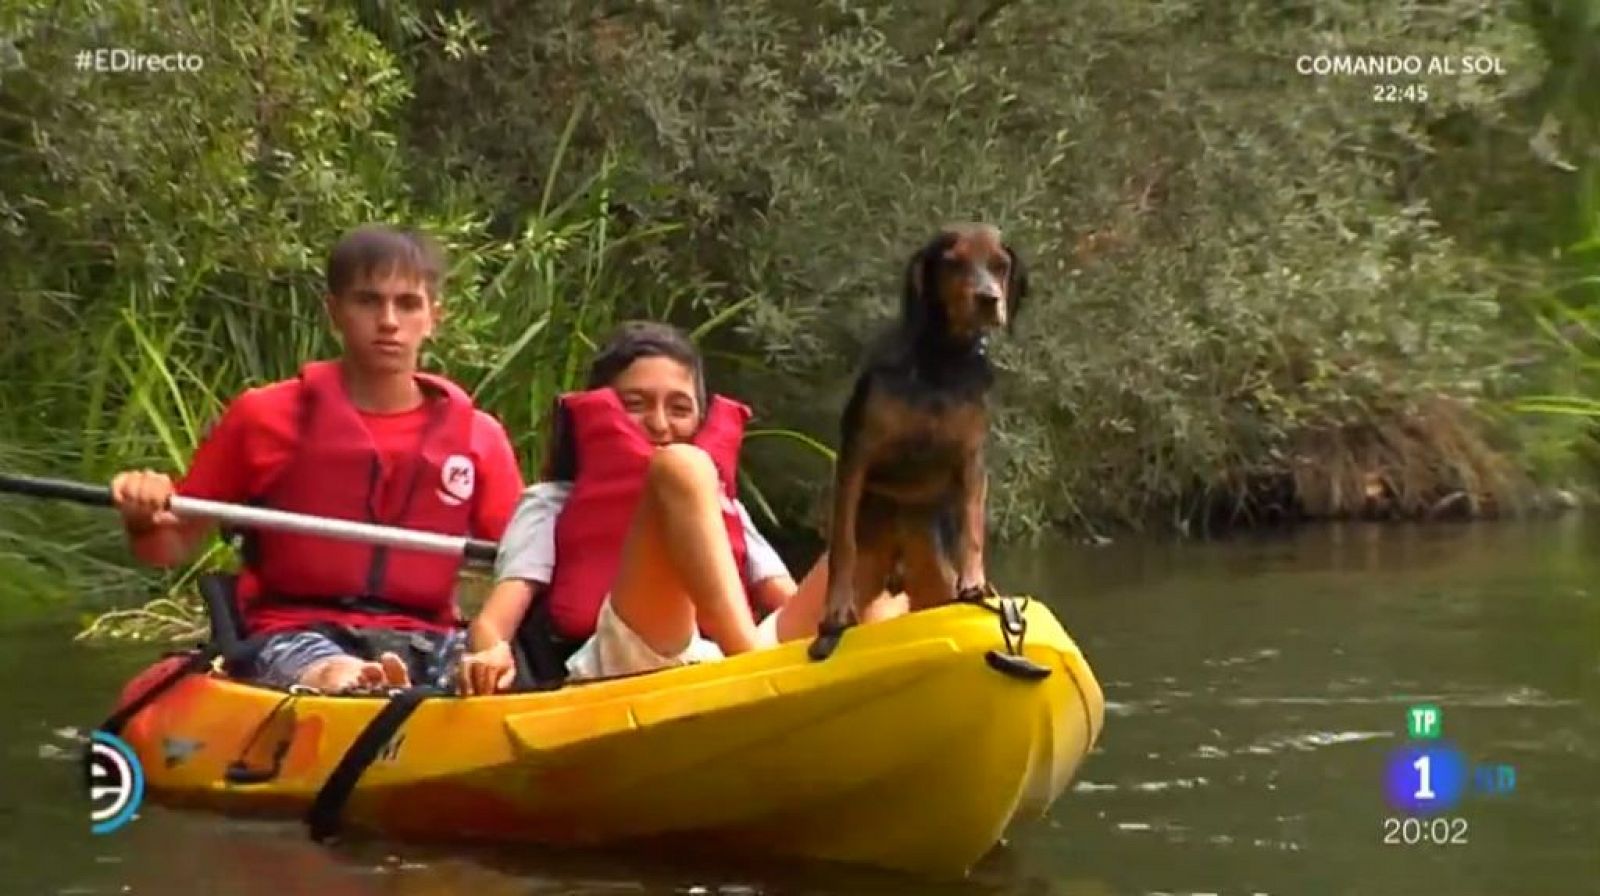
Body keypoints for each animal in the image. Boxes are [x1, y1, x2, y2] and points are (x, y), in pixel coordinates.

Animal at [806, 222, 1030, 659]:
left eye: (1000, 265)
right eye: (953, 263)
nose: (988, 299)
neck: (941, 360)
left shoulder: (971, 458)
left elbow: (972, 528)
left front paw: (975, 582)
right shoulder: (857, 454)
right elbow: (843, 544)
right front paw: (836, 609)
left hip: (933, 582)